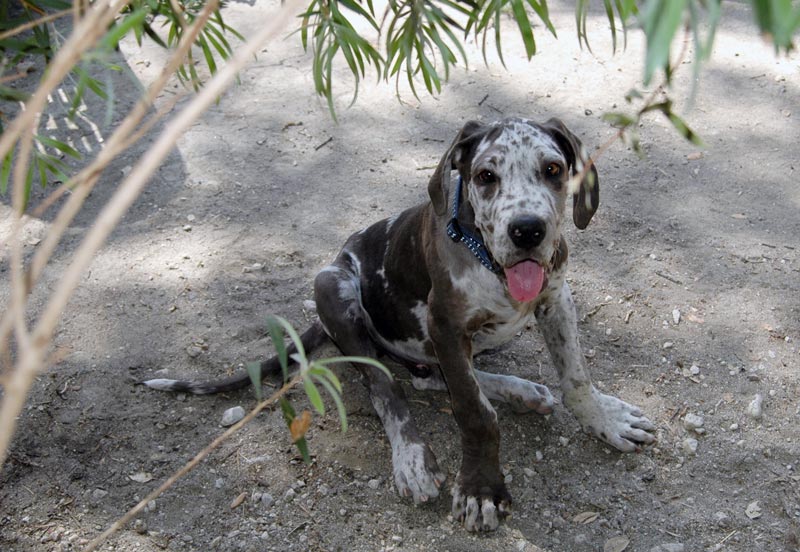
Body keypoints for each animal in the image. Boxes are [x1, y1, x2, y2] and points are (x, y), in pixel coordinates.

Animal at [144, 115, 656, 532]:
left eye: (552, 169)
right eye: (485, 176)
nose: (527, 231)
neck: (487, 262)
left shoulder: (556, 298)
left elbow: (576, 377)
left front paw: (604, 418)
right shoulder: (445, 325)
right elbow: (474, 413)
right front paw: (481, 489)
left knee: (431, 378)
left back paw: (521, 391)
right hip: (335, 288)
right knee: (388, 388)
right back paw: (411, 456)